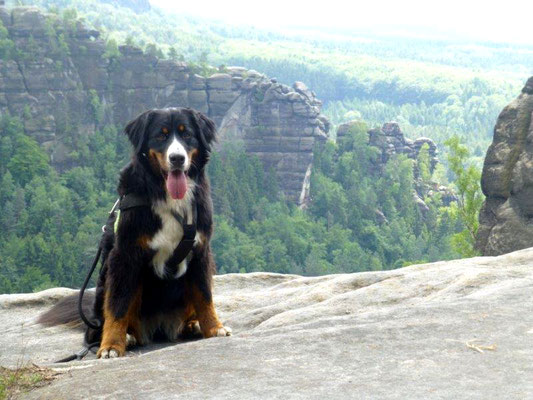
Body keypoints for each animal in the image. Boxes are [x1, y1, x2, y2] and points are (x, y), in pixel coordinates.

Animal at [39, 107, 231, 360]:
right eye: (161, 135)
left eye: (187, 134)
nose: (177, 158)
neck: (165, 196)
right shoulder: (125, 256)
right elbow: (118, 305)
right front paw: (111, 345)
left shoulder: (200, 251)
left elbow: (204, 295)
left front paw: (213, 328)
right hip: (109, 284)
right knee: (97, 327)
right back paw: (124, 337)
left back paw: (192, 325)